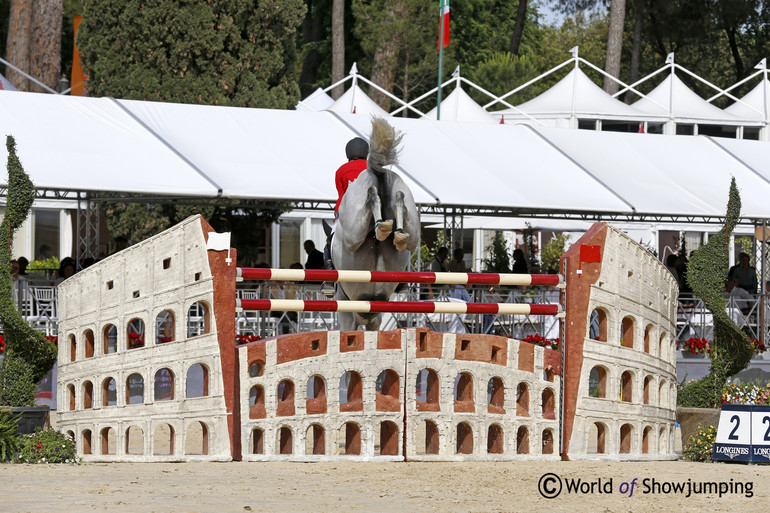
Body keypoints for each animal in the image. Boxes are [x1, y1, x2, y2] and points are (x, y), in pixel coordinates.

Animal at [332, 118, 420, 330]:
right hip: (409, 217)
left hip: (352, 234)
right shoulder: (374, 313)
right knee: (400, 200)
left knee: (371, 196)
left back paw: (381, 225)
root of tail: (376, 171)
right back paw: (395, 232)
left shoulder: (346, 306)